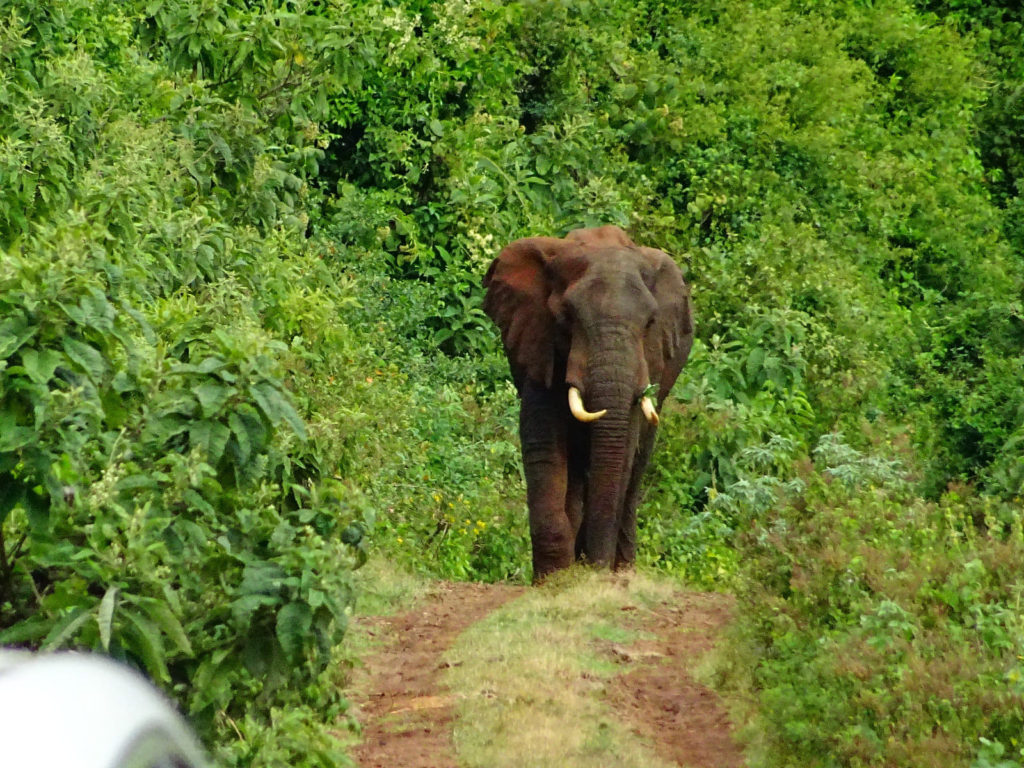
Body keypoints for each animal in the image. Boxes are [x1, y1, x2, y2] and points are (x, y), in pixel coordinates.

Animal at [481, 225, 692, 581]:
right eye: (566, 317)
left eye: (650, 323)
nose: (597, 569)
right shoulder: (540, 341)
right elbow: (544, 442)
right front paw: (554, 579)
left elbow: (623, 451)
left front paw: (593, 573)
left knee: (636, 467)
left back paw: (621, 570)